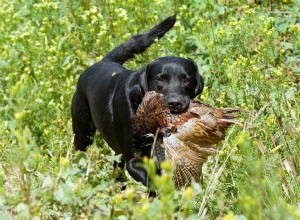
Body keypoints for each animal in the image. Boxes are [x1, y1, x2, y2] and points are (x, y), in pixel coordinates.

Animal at [72, 15, 204, 187]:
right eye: (160, 79)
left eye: (186, 80)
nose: (175, 103)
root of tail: (101, 62)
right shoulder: (133, 159)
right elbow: (153, 181)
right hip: (83, 133)